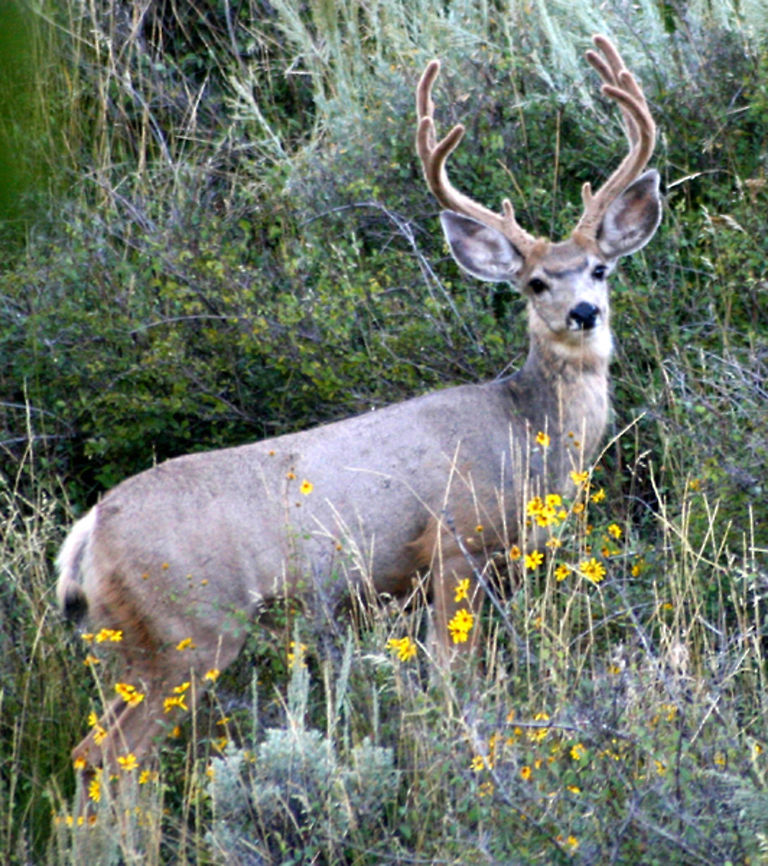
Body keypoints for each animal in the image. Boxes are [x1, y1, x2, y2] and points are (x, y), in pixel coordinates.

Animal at [56, 35, 661, 786]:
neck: (524, 431)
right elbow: (452, 678)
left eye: (599, 269)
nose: (583, 312)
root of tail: (86, 537)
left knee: (92, 751)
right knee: (114, 755)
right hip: (190, 627)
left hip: (131, 645)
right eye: (534, 283)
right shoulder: (455, 547)